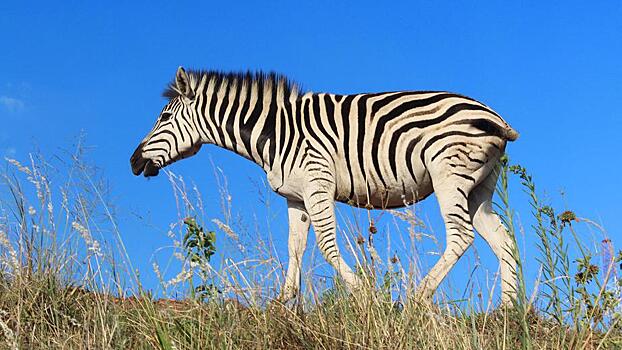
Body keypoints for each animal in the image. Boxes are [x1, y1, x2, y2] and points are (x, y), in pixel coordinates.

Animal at [132, 66, 520, 306]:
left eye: (164, 118)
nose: (133, 162)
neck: (274, 133)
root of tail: (494, 116)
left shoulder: (318, 183)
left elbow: (327, 246)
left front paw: (366, 293)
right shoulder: (295, 198)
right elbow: (294, 248)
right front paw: (282, 302)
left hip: (447, 175)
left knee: (461, 236)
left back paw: (417, 296)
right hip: (478, 187)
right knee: (502, 239)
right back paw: (507, 312)